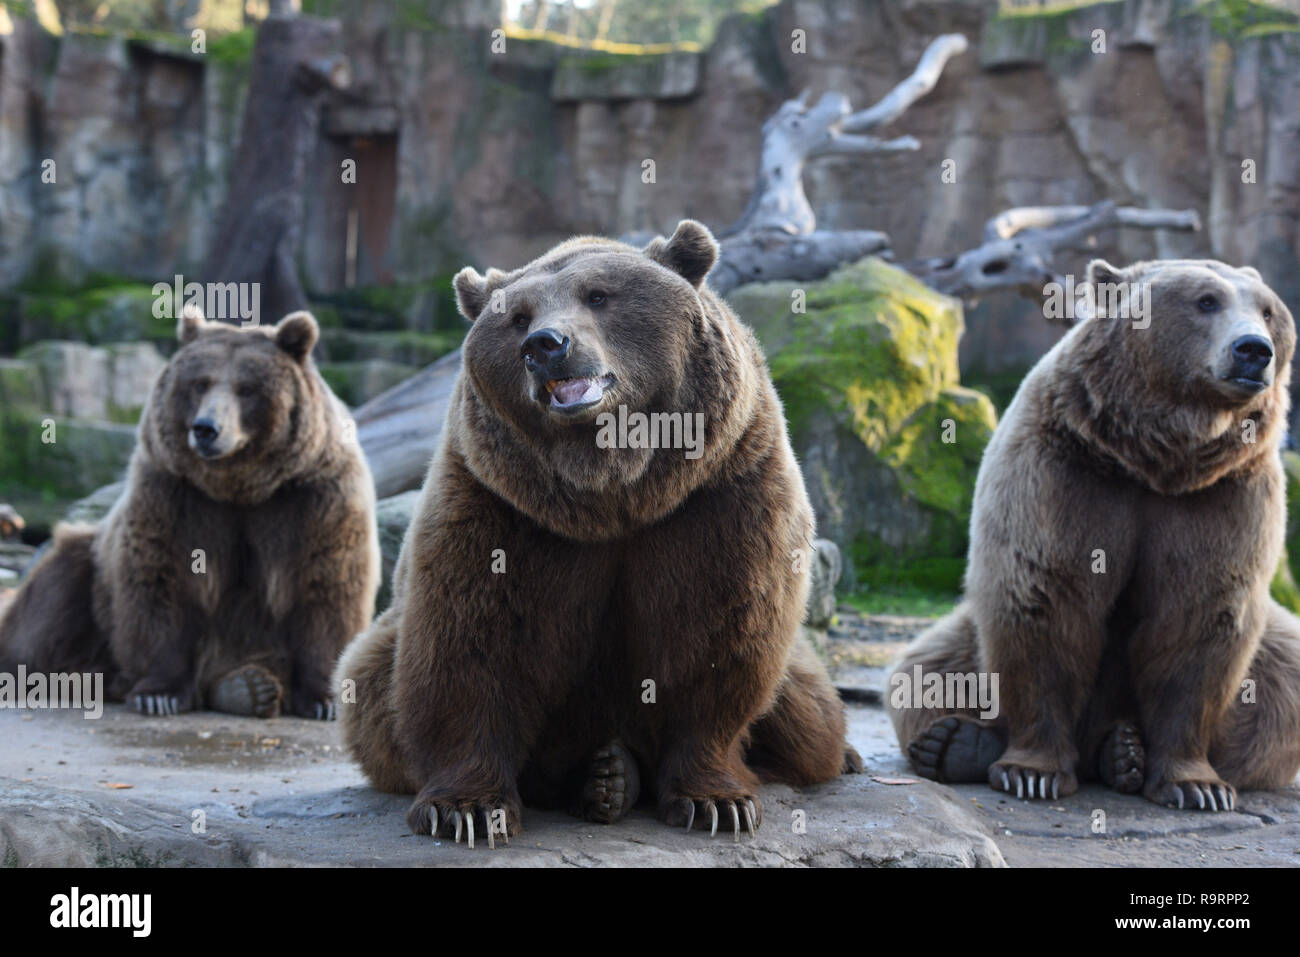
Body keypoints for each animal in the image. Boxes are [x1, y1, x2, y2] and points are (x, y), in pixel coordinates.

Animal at [2, 306, 379, 717]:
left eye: (247, 388)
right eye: (200, 383)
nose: (206, 428)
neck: (241, 487)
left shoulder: (312, 497)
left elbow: (327, 582)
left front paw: (324, 699)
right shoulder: (176, 495)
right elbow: (163, 579)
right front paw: (158, 693)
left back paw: (248, 687)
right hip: (91, 572)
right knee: (53, 599)